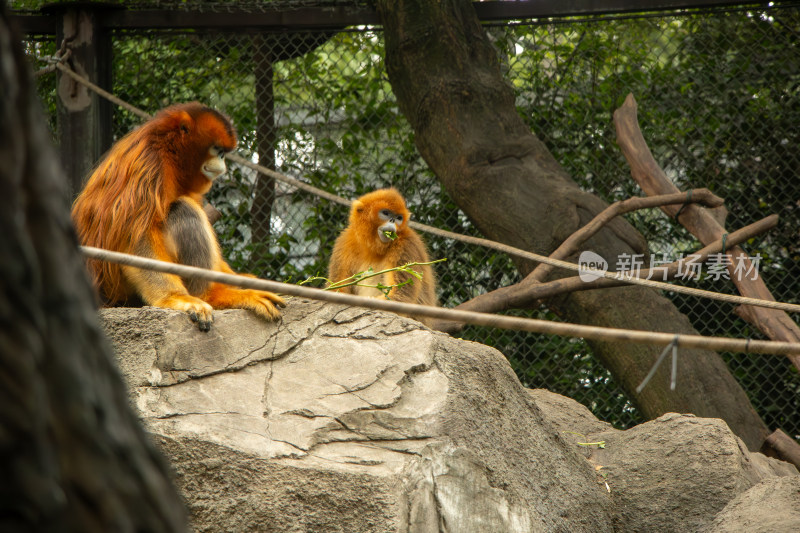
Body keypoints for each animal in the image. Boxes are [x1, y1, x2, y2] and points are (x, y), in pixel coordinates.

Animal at [326, 187, 438, 324]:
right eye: (386, 213)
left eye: (399, 217)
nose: (393, 220)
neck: (374, 248)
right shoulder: (345, 241)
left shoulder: (406, 245)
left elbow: (401, 297)